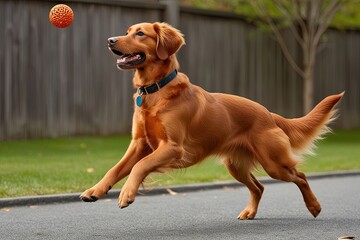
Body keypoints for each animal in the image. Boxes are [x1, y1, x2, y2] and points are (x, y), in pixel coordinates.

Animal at [80, 22, 344, 219]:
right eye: (126, 31)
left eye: (140, 33)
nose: (110, 40)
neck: (156, 90)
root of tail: (268, 113)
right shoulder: (139, 144)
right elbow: (115, 168)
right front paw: (95, 190)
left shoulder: (173, 147)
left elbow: (139, 166)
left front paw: (127, 193)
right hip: (236, 165)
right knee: (259, 187)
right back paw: (249, 212)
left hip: (274, 163)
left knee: (300, 176)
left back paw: (314, 206)